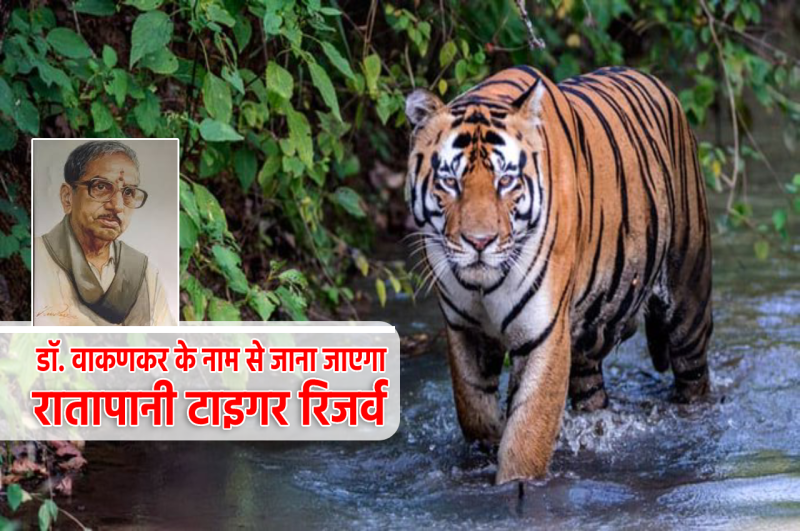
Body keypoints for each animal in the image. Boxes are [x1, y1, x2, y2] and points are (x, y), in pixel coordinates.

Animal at [404, 65, 713, 484]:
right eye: (450, 182)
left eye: (505, 181)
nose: (479, 242)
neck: (483, 285)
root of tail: (656, 81)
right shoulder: (464, 329)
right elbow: (475, 411)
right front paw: (488, 445)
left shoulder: (544, 332)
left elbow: (527, 434)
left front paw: (514, 480)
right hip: (588, 338)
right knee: (590, 390)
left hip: (687, 300)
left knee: (693, 377)